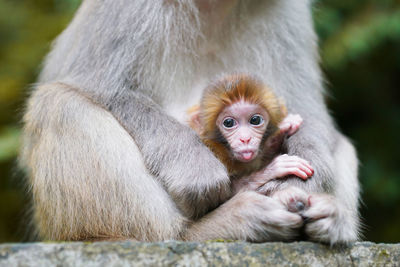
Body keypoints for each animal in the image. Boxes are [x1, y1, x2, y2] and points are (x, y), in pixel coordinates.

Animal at [21, 0, 360, 243]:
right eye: (230, 124)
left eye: (255, 119)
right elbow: (102, 87)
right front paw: (195, 169)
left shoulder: (288, 11)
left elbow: (306, 105)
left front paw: (303, 177)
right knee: (59, 103)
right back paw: (205, 230)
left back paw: (332, 221)